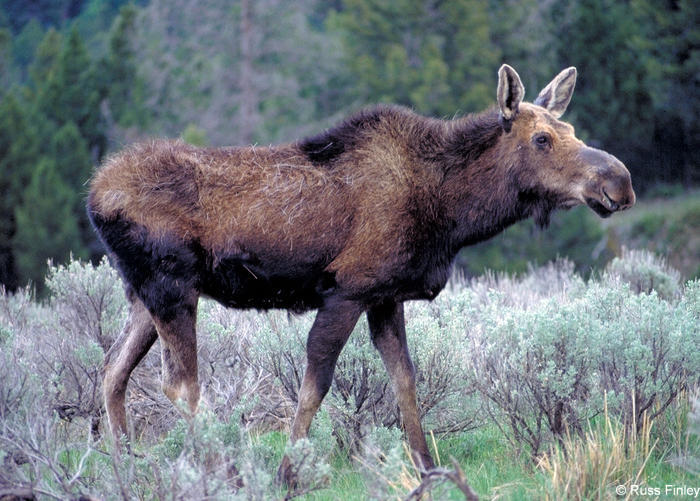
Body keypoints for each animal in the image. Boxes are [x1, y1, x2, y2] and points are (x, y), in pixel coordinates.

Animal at [87, 64, 634, 483]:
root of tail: (94, 195)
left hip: (142, 293)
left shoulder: (386, 296)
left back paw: (126, 467)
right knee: (180, 385)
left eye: (572, 132)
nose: (620, 182)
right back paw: (221, 470)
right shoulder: (348, 290)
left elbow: (406, 381)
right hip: (172, 286)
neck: (450, 214)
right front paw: (288, 472)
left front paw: (427, 468)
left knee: (113, 370)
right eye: (542, 138)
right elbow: (316, 384)